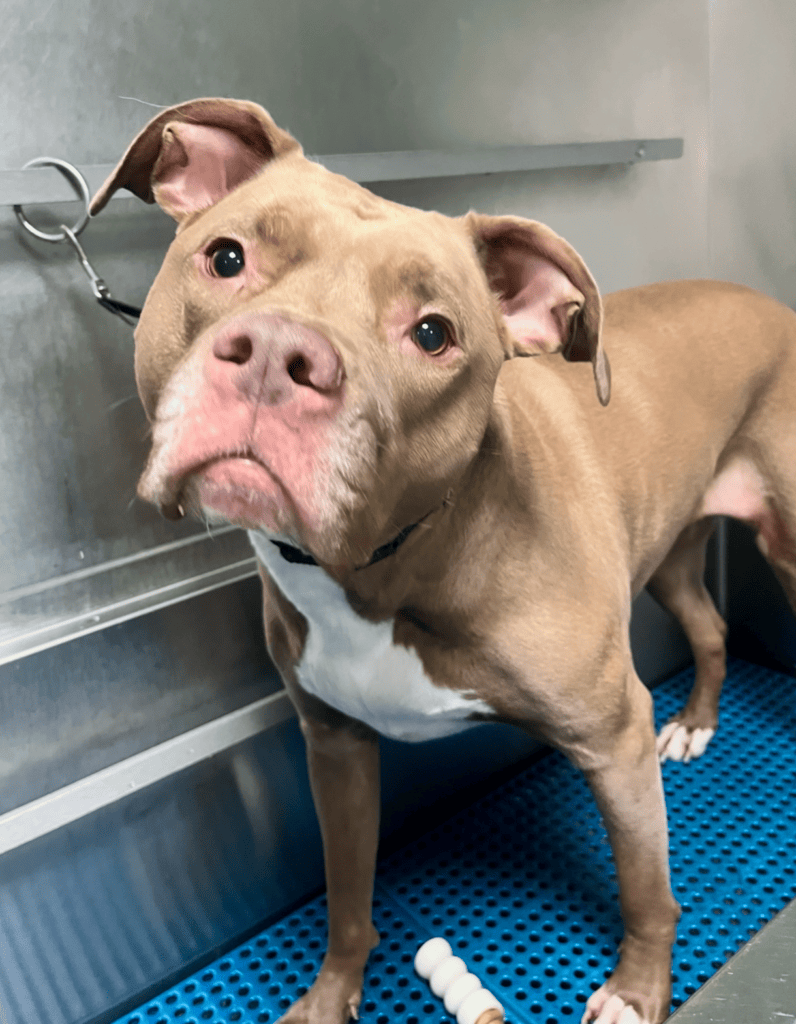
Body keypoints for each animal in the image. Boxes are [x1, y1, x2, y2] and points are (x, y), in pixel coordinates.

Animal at [90, 97, 794, 1024]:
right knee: (710, 629)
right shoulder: (336, 748)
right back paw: (699, 721)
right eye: (227, 257)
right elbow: (347, 899)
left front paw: (637, 992)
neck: (383, 566)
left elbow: (648, 889)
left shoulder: (613, 739)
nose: (279, 356)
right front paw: (330, 996)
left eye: (433, 334)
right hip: (675, 557)